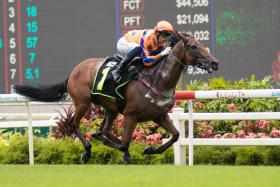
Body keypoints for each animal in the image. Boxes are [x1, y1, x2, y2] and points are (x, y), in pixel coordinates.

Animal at [13, 32, 219, 164]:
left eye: (201, 44)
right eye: (193, 46)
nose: (214, 63)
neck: (157, 80)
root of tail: (74, 71)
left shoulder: (159, 115)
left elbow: (175, 135)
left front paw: (149, 149)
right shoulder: (131, 115)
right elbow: (126, 142)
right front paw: (126, 154)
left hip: (110, 108)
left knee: (104, 129)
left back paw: (101, 138)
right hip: (82, 103)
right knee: (74, 125)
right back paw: (87, 151)